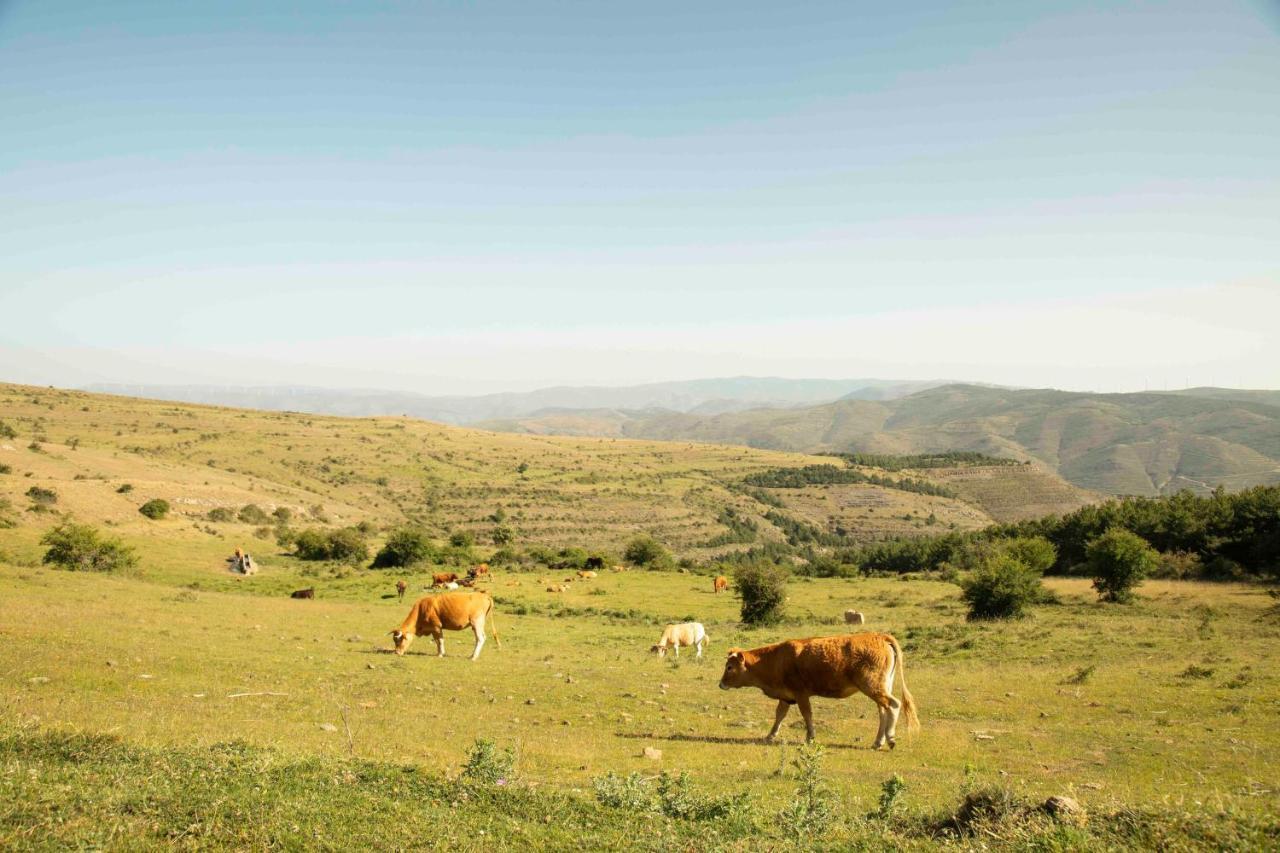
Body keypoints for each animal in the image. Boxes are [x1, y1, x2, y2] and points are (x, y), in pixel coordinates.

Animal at [721, 627, 921, 747]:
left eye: (729, 667)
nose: (721, 683)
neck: (777, 659)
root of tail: (879, 637)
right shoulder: (786, 696)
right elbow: (779, 715)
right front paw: (770, 735)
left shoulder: (801, 694)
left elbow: (807, 714)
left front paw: (810, 736)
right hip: (881, 687)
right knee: (883, 711)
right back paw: (878, 741)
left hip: (873, 687)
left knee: (893, 705)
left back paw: (891, 739)